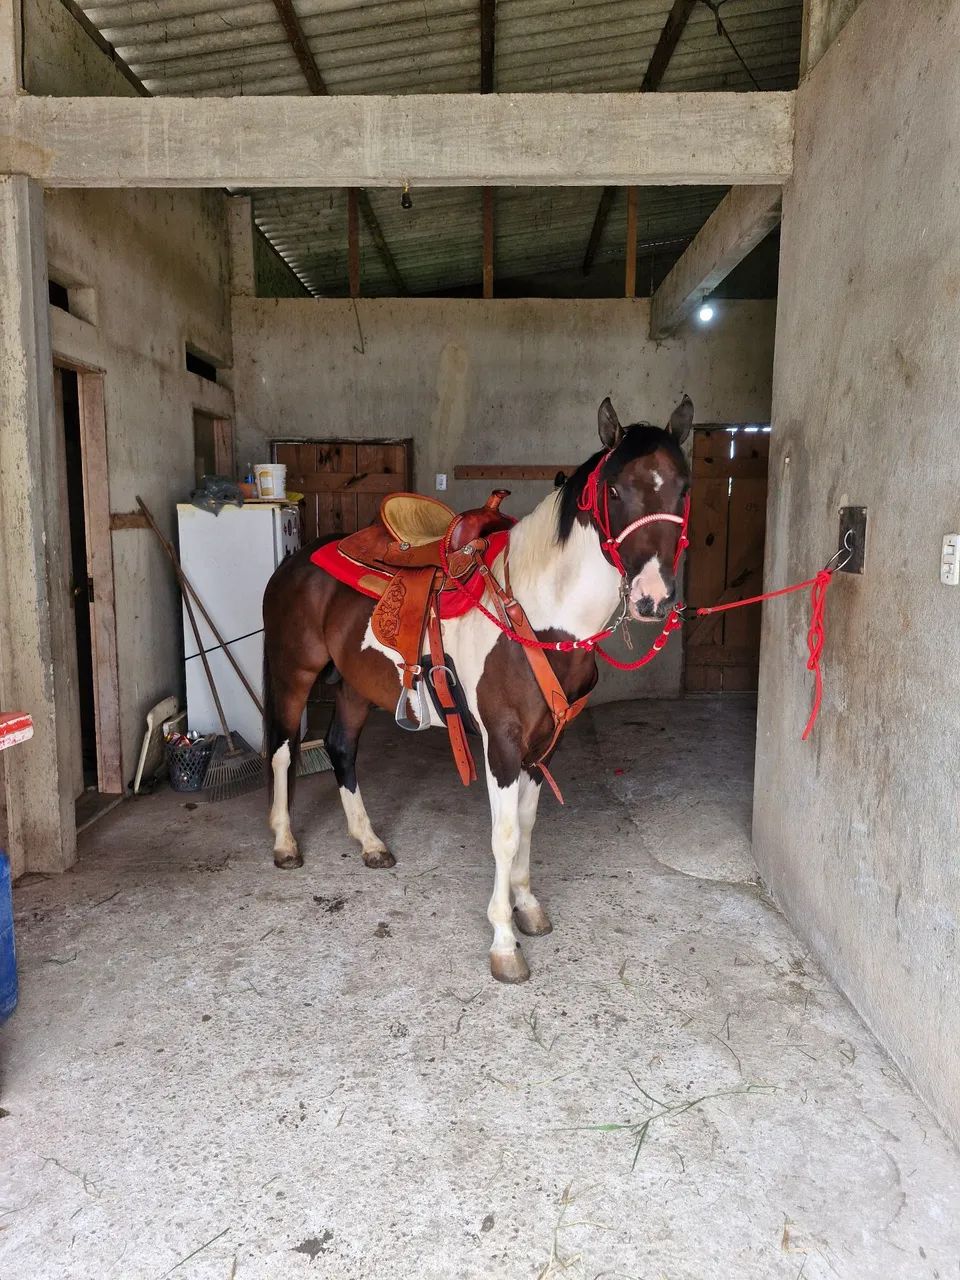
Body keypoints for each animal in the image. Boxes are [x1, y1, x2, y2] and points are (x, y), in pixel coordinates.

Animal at [262, 396, 693, 982]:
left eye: (683, 487)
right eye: (616, 489)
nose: (653, 597)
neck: (538, 614)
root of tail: (295, 559)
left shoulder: (546, 741)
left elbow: (529, 825)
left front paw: (528, 907)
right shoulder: (503, 743)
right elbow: (505, 835)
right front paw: (505, 942)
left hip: (354, 685)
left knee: (341, 749)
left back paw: (370, 843)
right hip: (294, 672)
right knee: (284, 751)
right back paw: (285, 843)